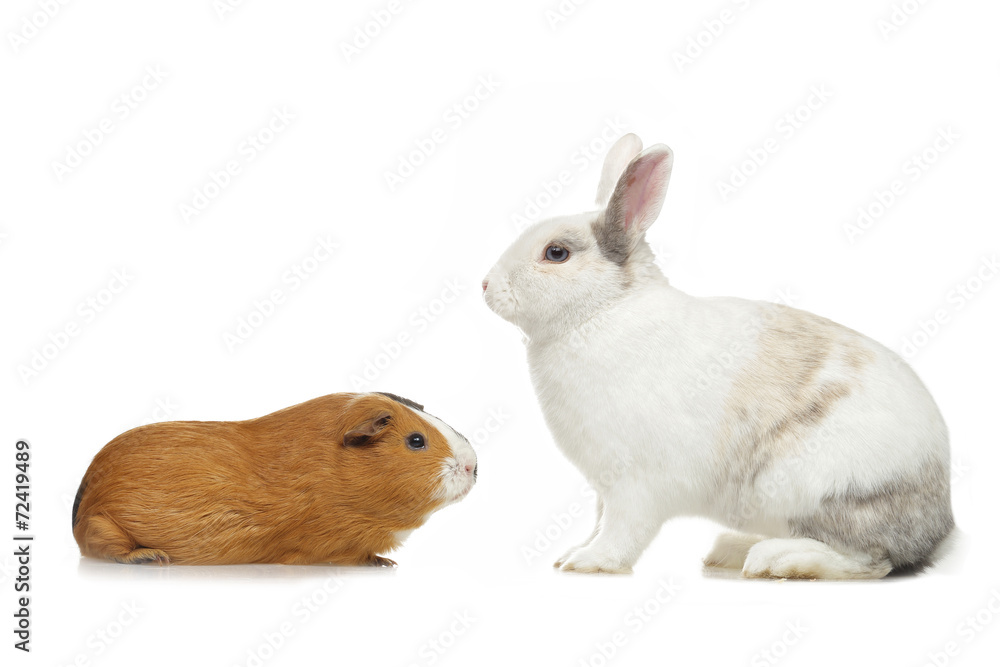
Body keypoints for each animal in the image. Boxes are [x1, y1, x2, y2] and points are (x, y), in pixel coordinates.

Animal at [72, 392, 478, 566]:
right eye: (416, 441)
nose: (474, 466)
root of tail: (84, 494)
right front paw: (381, 562)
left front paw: (385, 562)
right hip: (104, 527)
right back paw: (150, 557)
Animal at [482, 133, 953, 579]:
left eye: (556, 253)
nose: (486, 285)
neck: (603, 312)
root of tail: (939, 523)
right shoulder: (604, 487)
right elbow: (599, 521)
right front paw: (572, 553)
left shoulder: (633, 485)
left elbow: (622, 530)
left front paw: (591, 561)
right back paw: (732, 549)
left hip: (818, 488)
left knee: (872, 560)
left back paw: (777, 560)